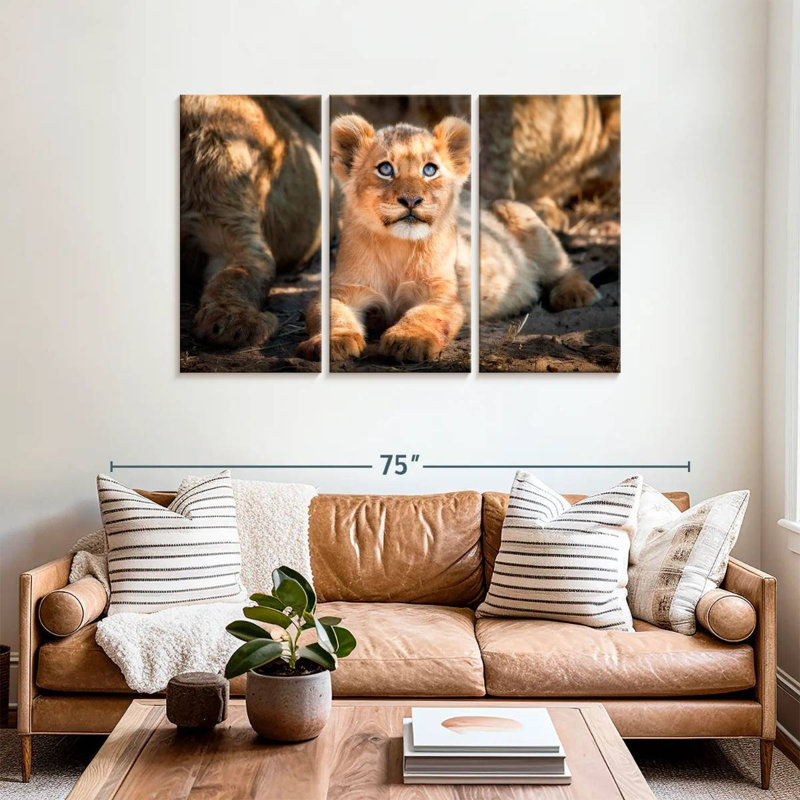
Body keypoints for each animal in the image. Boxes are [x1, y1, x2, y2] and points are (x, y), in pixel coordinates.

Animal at [297, 113, 599, 363]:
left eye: (429, 170)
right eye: (385, 169)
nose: (411, 200)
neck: (397, 248)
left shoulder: (443, 294)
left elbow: (423, 315)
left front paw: (409, 340)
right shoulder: (344, 289)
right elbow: (330, 314)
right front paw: (332, 343)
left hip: (523, 219)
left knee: (563, 267)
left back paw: (574, 294)